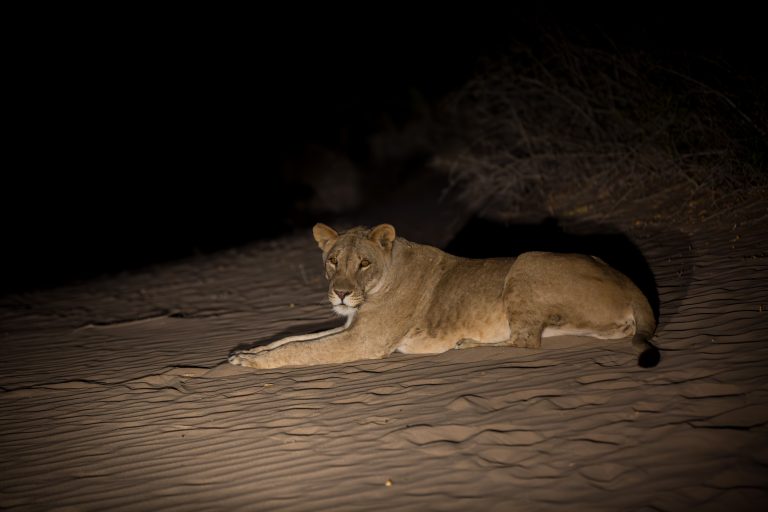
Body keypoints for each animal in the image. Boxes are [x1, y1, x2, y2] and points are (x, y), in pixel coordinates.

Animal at [229, 223, 660, 369]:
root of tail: (632, 284)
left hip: (527, 260)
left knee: (526, 342)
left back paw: (463, 345)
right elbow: (294, 337)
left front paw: (251, 363)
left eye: (363, 263)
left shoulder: (364, 340)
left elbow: (300, 350)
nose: (340, 294)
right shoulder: (353, 327)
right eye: (333, 260)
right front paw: (244, 352)